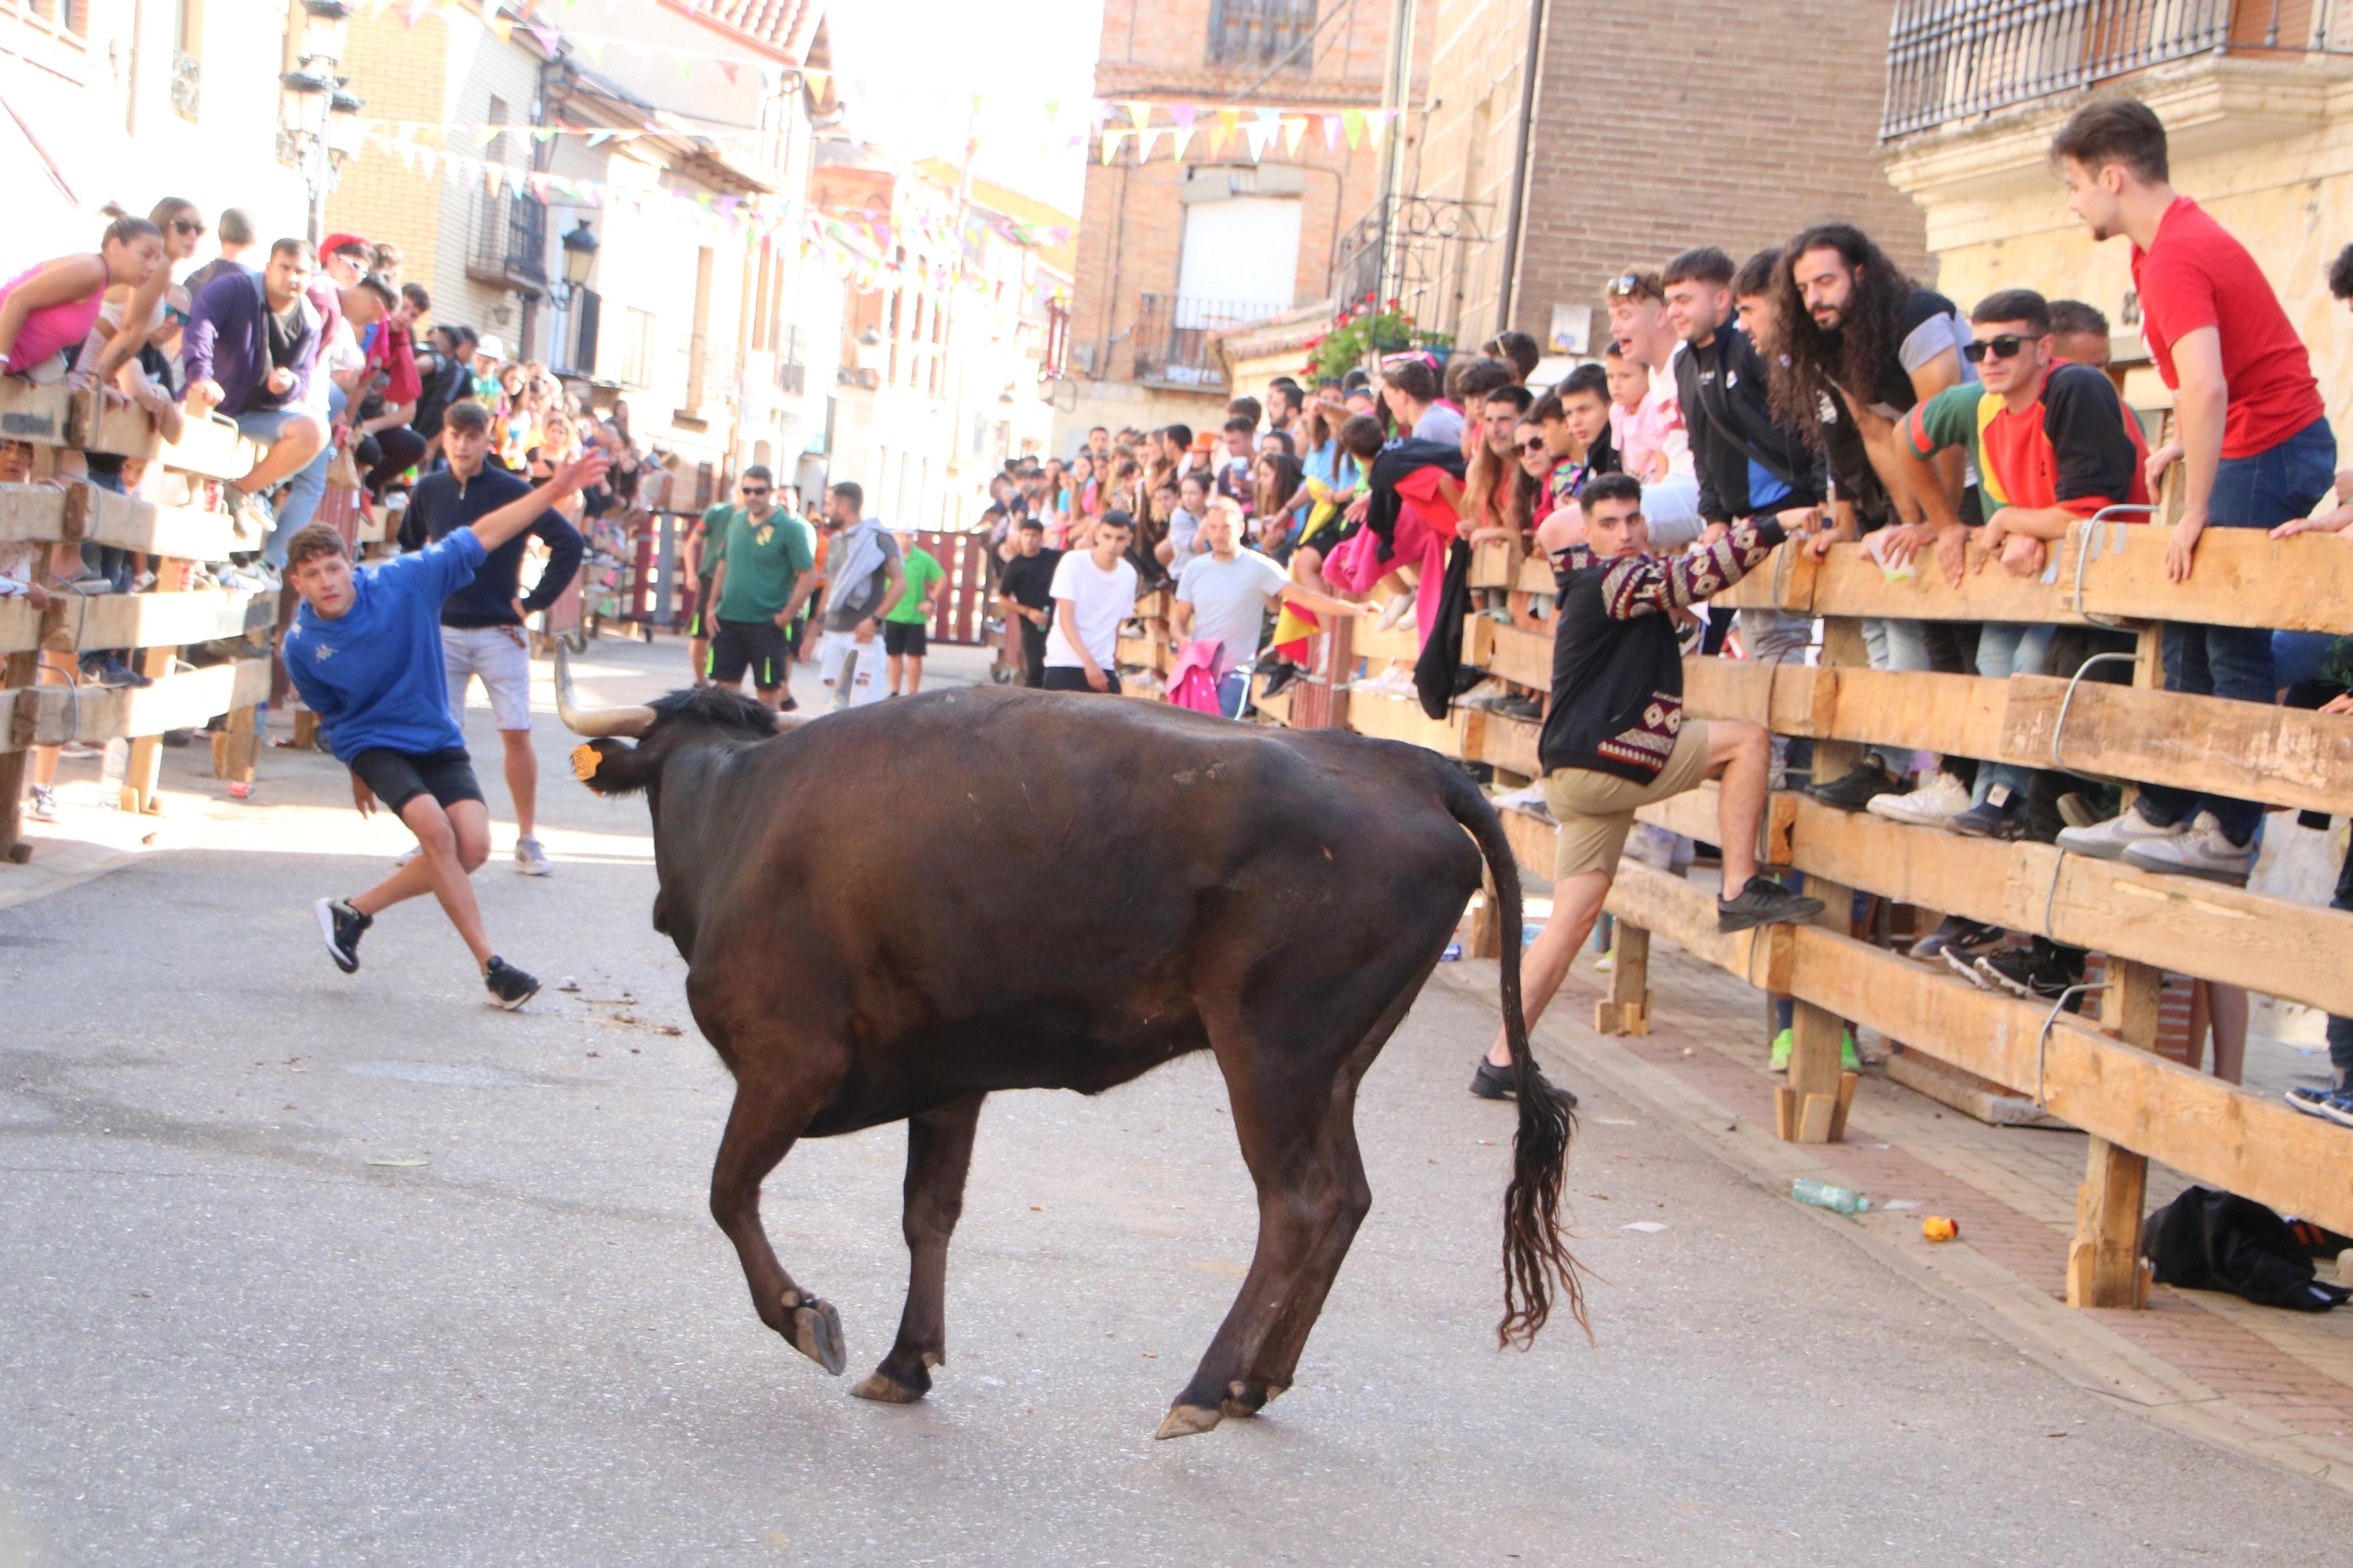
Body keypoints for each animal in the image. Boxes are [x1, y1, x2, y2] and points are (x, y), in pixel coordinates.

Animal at [555, 653, 1581, 1448]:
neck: (736, 800)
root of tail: (1399, 762)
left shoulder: (784, 1063)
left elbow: (728, 1193)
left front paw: (805, 1316)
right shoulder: (947, 1077)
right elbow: (928, 1214)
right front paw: (906, 1360)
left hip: (1272, 1052)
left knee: (1300, 1203)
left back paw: (1200, 1390)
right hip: (1333, 1065)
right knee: (1349, 1200)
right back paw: (1253, 1383)